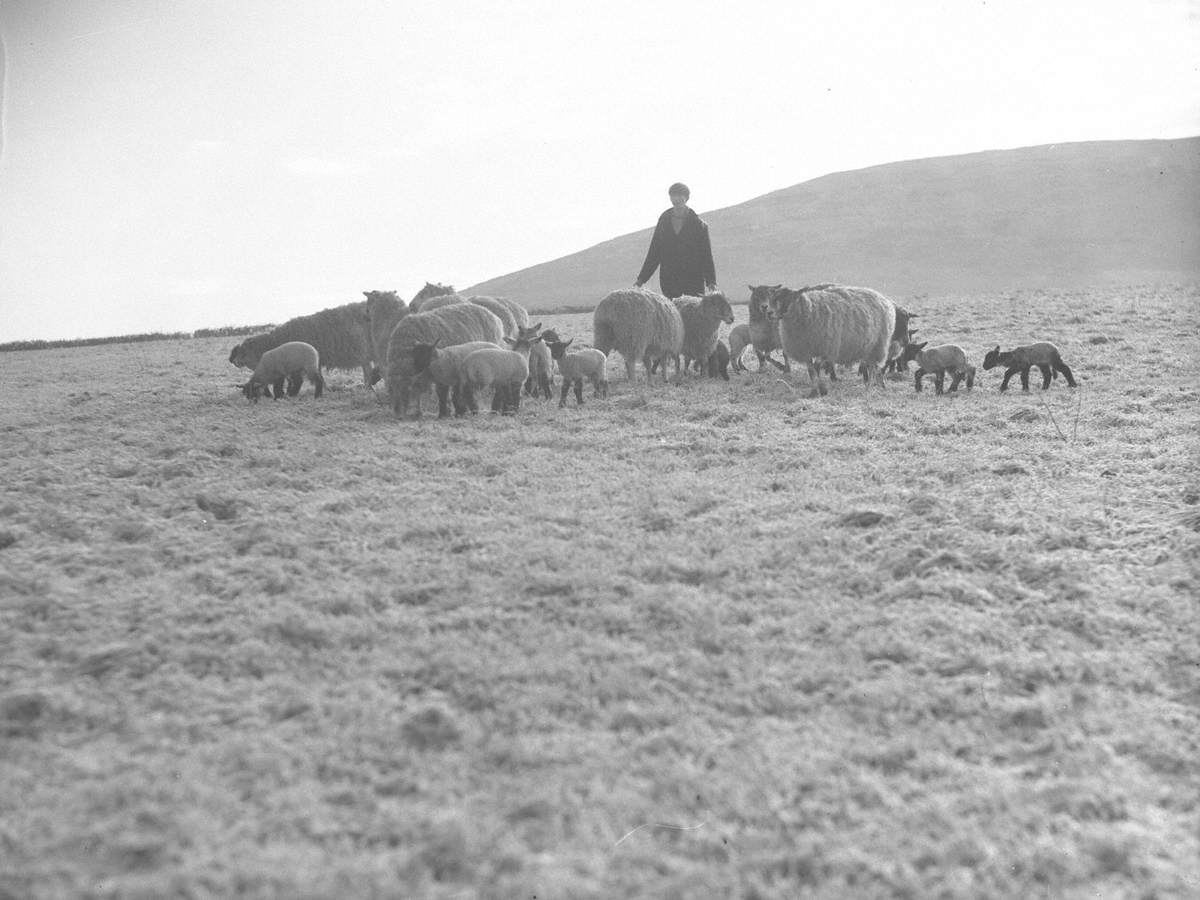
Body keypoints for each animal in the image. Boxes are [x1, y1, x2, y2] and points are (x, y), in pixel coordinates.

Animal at [763, 282, 897, 393]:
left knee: (873, 367)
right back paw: (881, 385)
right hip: (869, 348)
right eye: (772, 299)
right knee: (874, 367)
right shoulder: (806, 351)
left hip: (878, 345)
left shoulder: (827, 349)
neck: (809, 311)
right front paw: (814, 390)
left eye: (787, 298)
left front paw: (821, 388)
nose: (769, 313)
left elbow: (817, 367)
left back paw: (869, 387)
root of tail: (883, 298)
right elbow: (811, 372)